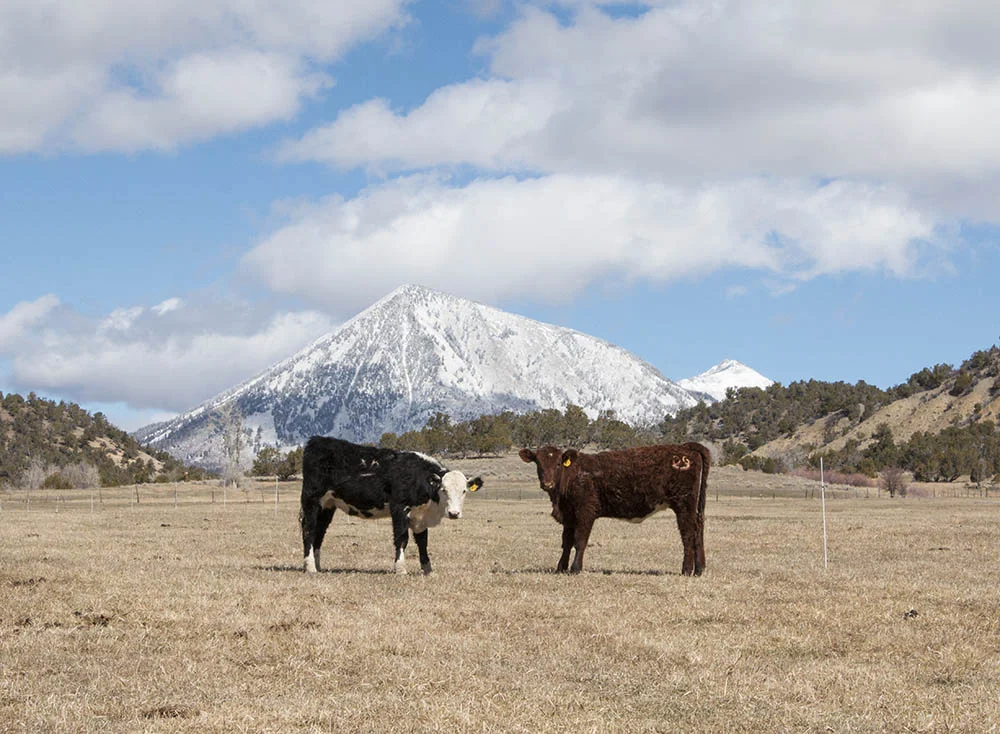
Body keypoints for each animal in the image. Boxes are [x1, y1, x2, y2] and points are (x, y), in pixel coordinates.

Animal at [300, 436, 483, 575]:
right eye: (443, 489)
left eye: (464, 491)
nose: (454, 513)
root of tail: (317, 441)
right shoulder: (400, 508)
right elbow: (402, 538)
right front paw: (400, 569)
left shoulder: (419, 517)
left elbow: (423, 542)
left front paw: (428, 570)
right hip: (312, 500)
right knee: (309, 530)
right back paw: (310, 567)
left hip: (328, 505)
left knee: (320, 532)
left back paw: (317, 566)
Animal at [519, 442, 710, 576]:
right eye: (538, 463)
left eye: (558, 464)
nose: (548, 483)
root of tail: (685, 447)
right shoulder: (569, 515)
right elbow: (566, 542)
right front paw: (560, 568)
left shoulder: (585, 512)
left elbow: (580, 541)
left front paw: (575, 568)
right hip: (694, 507)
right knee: (698, 529)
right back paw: (699, 569)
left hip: (684, 505)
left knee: (688, 534)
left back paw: (686, 570)